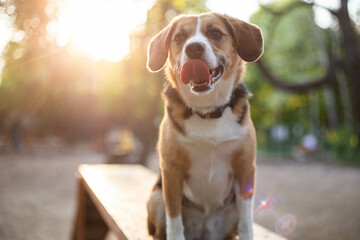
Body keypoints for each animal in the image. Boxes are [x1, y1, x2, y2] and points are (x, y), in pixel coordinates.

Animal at [146, 12, 264, 239]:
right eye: (179, 37)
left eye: (216, 33)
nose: (193, 48)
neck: (208, 111)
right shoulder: (171, 171)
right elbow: (174, 221)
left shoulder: (245, 168)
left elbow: (246, 222)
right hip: (156, 197)